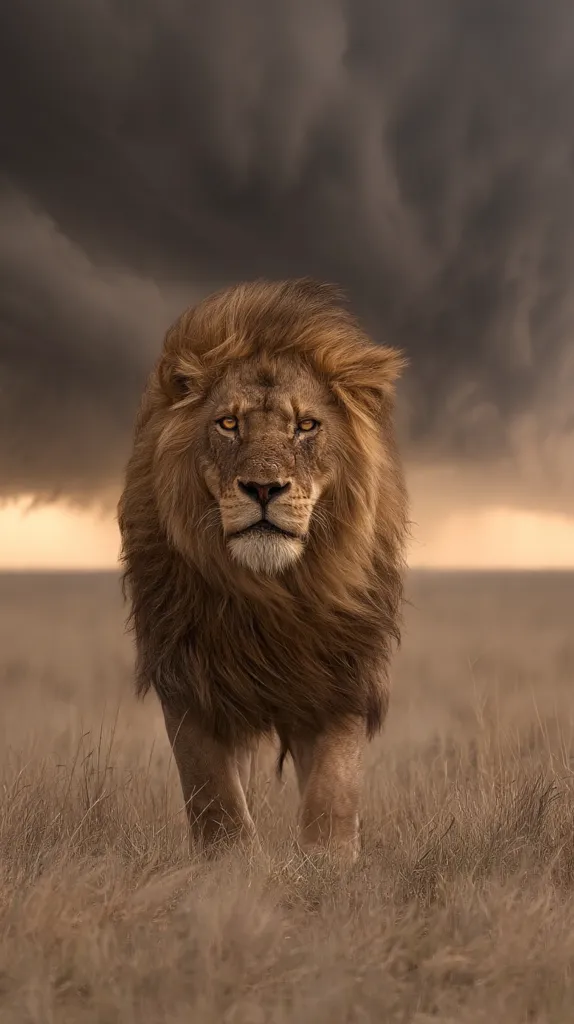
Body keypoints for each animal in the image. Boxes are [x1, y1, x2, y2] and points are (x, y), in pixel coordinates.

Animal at [118, 278, 408, 864]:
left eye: (306, 426)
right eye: (229, 424)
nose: (263, 488)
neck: (271, 594)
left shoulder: (340, 667)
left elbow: (334, 783)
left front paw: (329, 861)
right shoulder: (189, 670)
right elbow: (211, 785)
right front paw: (230, 863)